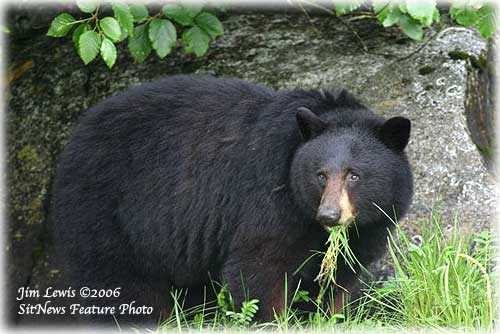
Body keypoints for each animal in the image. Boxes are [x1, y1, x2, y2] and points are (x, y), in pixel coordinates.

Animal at [50, 75, 412, 326]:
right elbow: (259, 264)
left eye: (354, 175)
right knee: (115, 280)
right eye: (320, 174)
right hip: (104, 209)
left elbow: (340, 276)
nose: (329, 215)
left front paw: (327, 315)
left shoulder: (370, 225)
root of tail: (74, 140)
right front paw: (270, 319)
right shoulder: (269, 196)